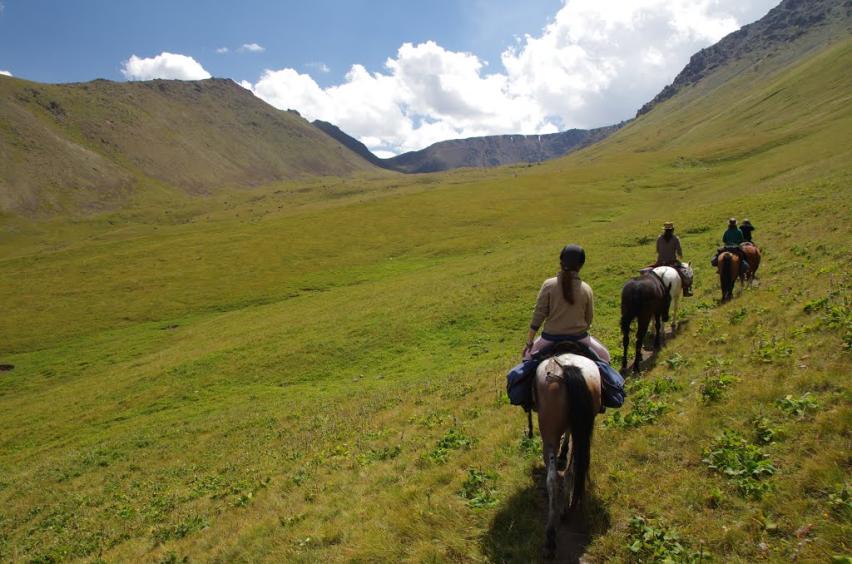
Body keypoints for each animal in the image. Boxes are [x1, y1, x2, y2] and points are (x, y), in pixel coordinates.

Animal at [532, 354, 600, 556]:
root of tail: (568, 366)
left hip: (549, 433)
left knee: (554, 478)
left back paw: (551, 534)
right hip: (582, 428)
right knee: (572, 469)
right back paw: (565, 509)